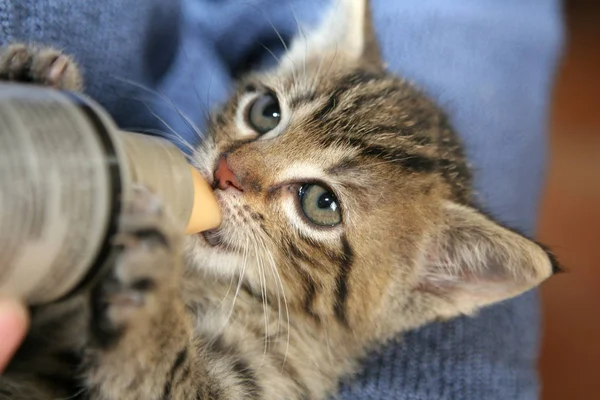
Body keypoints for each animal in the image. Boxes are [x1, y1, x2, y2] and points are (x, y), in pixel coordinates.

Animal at [0, 0, 556, 400]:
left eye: (321, 204)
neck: (209, 279)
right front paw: (32, 81)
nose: (224, 172)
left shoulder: (273, 378)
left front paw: (150, 294)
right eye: (266, 111)